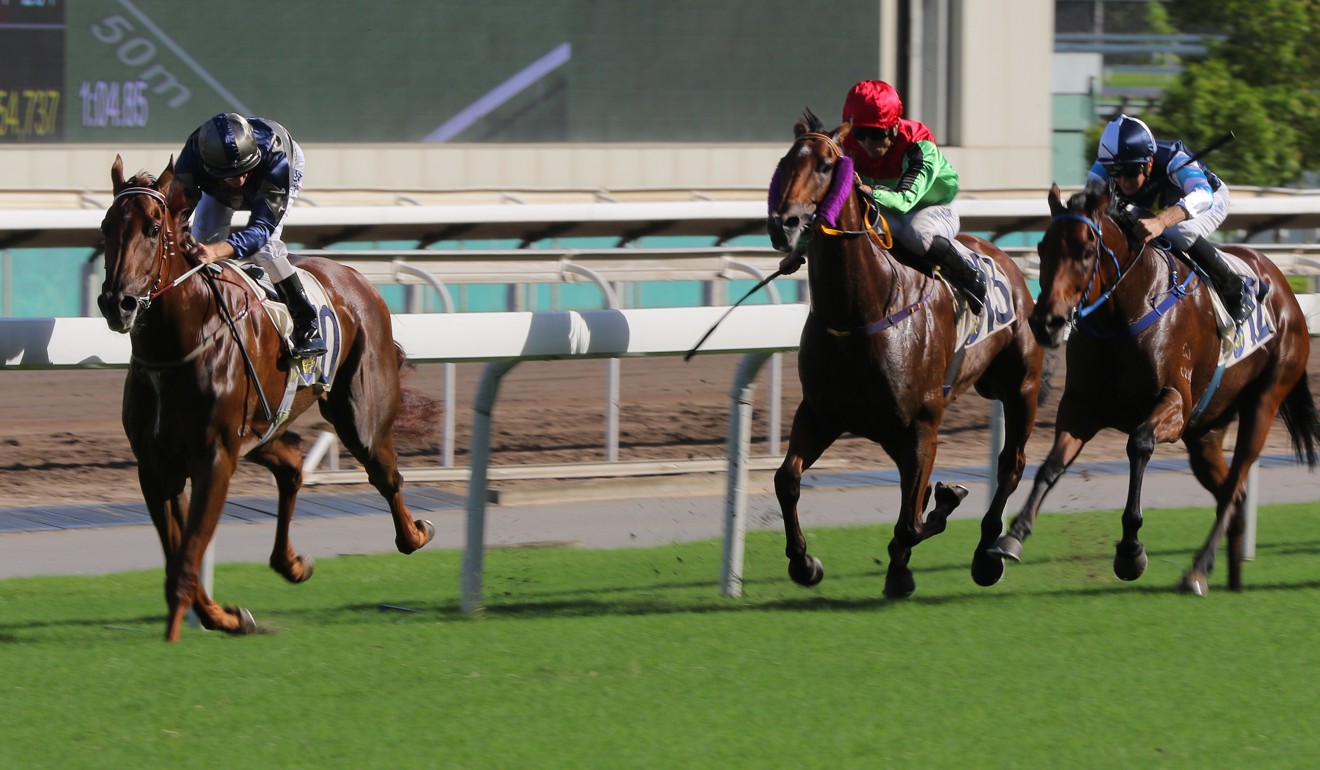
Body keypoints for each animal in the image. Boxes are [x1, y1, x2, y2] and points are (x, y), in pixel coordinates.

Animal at [100, 155, 438, 639]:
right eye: (106, 227)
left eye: (153, 228)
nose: (118, 303)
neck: (177, 346)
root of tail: (358, 279)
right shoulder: (156, 465)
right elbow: (180, 558)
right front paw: (225, 617)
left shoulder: (215, 457)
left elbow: (186, 561)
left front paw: (182, 632)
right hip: (262, 427)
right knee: (293, 461)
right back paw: (291, 563)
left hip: (360, 418)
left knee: (385, 474)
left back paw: (415, 532)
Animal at [770, 112, 1045, 596]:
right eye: (785, 163)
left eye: (825, 165)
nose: (782, 224)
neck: (860, 314)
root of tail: (1005, 262)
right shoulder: (821, 412)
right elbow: (787, 479)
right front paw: (805, 562)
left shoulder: (922, 426)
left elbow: (913, 520)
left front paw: (939, 512)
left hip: (1021, 386)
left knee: (1011, 464)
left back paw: (988, 555)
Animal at [992, 182, 1314, 596]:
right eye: (1042, 247)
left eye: (1085, 251)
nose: (1046, 322)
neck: (1124, 311)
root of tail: (1286, 292)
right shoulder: (1081, 407)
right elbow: (1051, 465)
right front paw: (1013, 535)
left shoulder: (1175, 404)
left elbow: (1139, 443)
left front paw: (1130, 551)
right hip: (1205, 432)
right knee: (1234, 490)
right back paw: (1229, 578)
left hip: (1264, 400)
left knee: (1234, 485)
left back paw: (1197, 570)